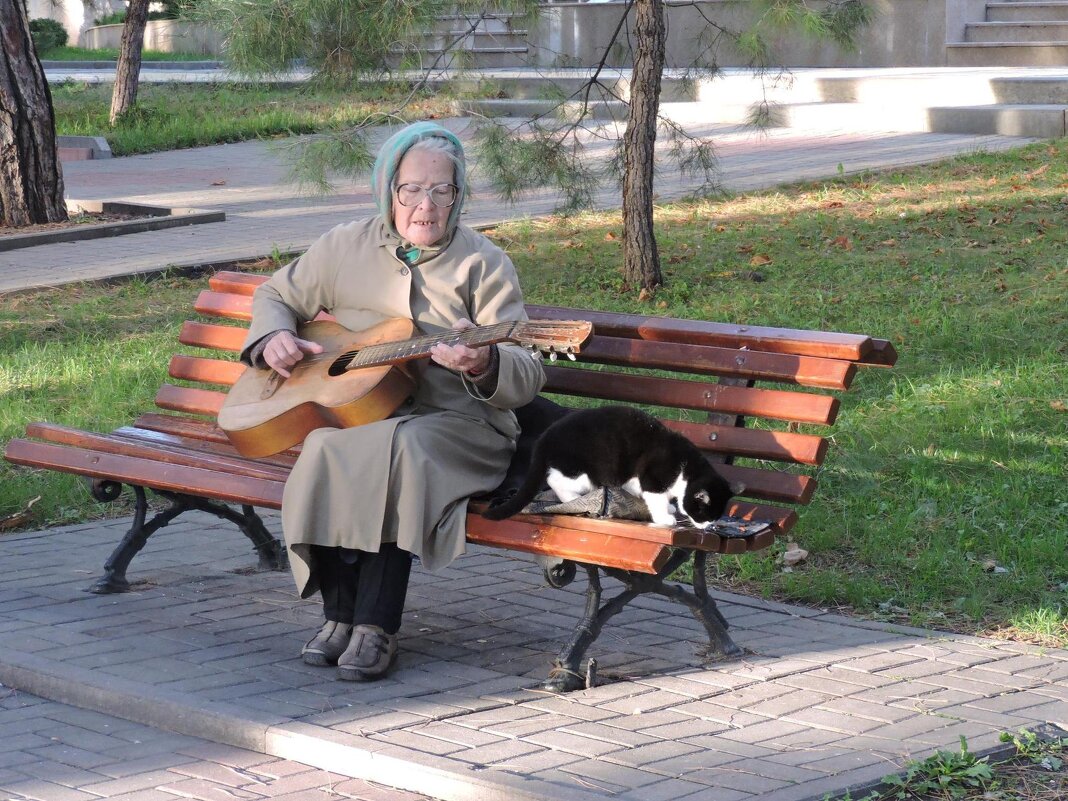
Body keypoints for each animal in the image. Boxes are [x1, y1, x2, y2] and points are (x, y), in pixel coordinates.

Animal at [482, 403, 739, 529]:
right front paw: (665, 517)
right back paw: (571, 500)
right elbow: (656, 499)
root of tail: (545, 438)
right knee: (555, 480)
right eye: (705, 513)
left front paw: (669, 508)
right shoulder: (653, 478)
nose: (708, 527)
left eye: (717, 516)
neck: (686, 470)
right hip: (584, 471)